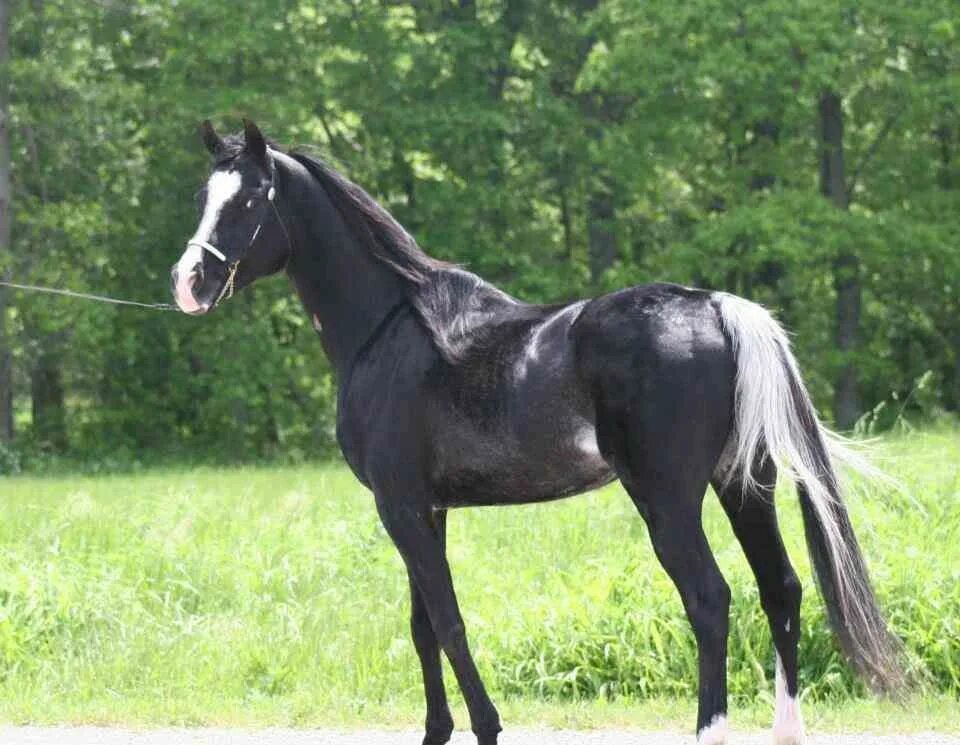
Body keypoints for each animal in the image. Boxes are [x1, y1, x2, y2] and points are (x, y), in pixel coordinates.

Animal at [169, 119, 904, 740]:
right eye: (204, 194)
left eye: (249, 199)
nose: (188, 281)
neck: (390, 329)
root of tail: (716, 307)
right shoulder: (427, 508)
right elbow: (421, 625)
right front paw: (436, 730)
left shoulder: (400, 507)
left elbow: (448, 621)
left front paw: (487, 726)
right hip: (745, 485)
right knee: (781, 589)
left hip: (668, 501)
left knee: (710, 598)